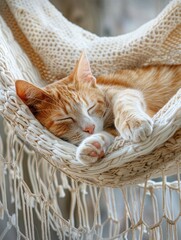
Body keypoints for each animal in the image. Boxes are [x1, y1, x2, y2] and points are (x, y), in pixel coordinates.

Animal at [15, 52, 181, 165]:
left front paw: (133, 122)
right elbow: (109, 134)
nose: (90, 128)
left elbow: (124, 102)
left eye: (91, 107)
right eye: (65, 118)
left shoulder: (125, 93)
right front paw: (94, 144)